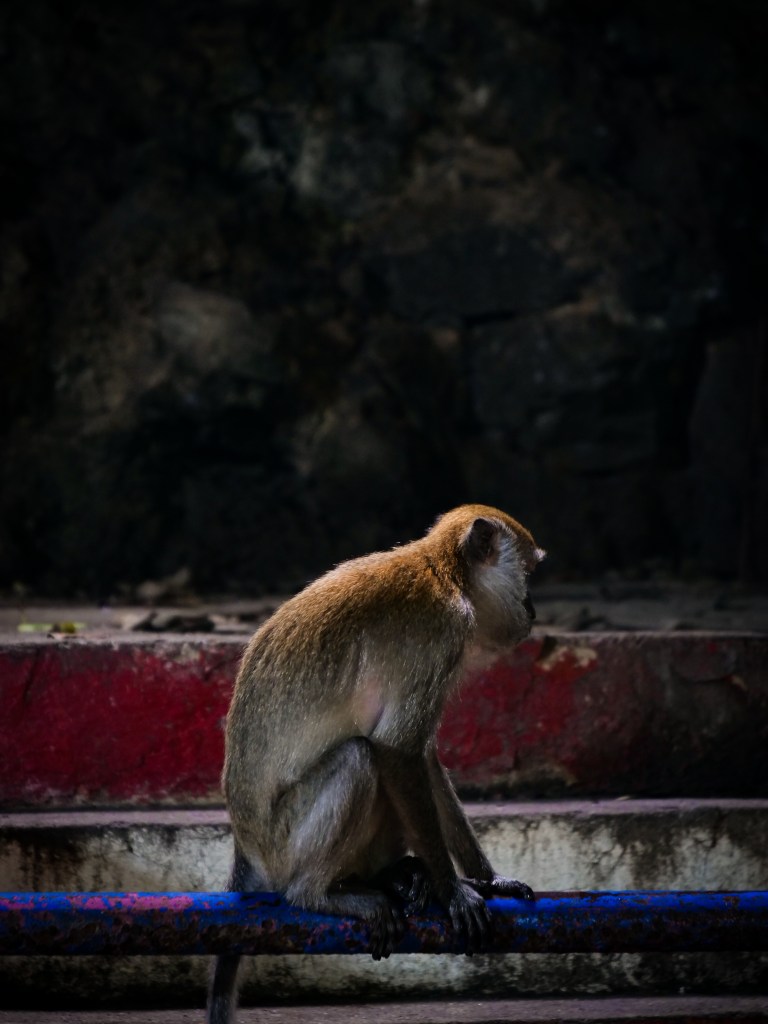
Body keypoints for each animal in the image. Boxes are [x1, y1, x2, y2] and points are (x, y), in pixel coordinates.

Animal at [207, 504, 545, 1024]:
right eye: (528, 572)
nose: (532, 609)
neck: (445, 572)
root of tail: (245, 844)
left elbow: (421, 757)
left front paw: (488, 882)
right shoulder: (442, 633)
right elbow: (396, 749)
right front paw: (453, 891)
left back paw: (393, 876)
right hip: (283, 843)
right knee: (359, 758)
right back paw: (318, 894)